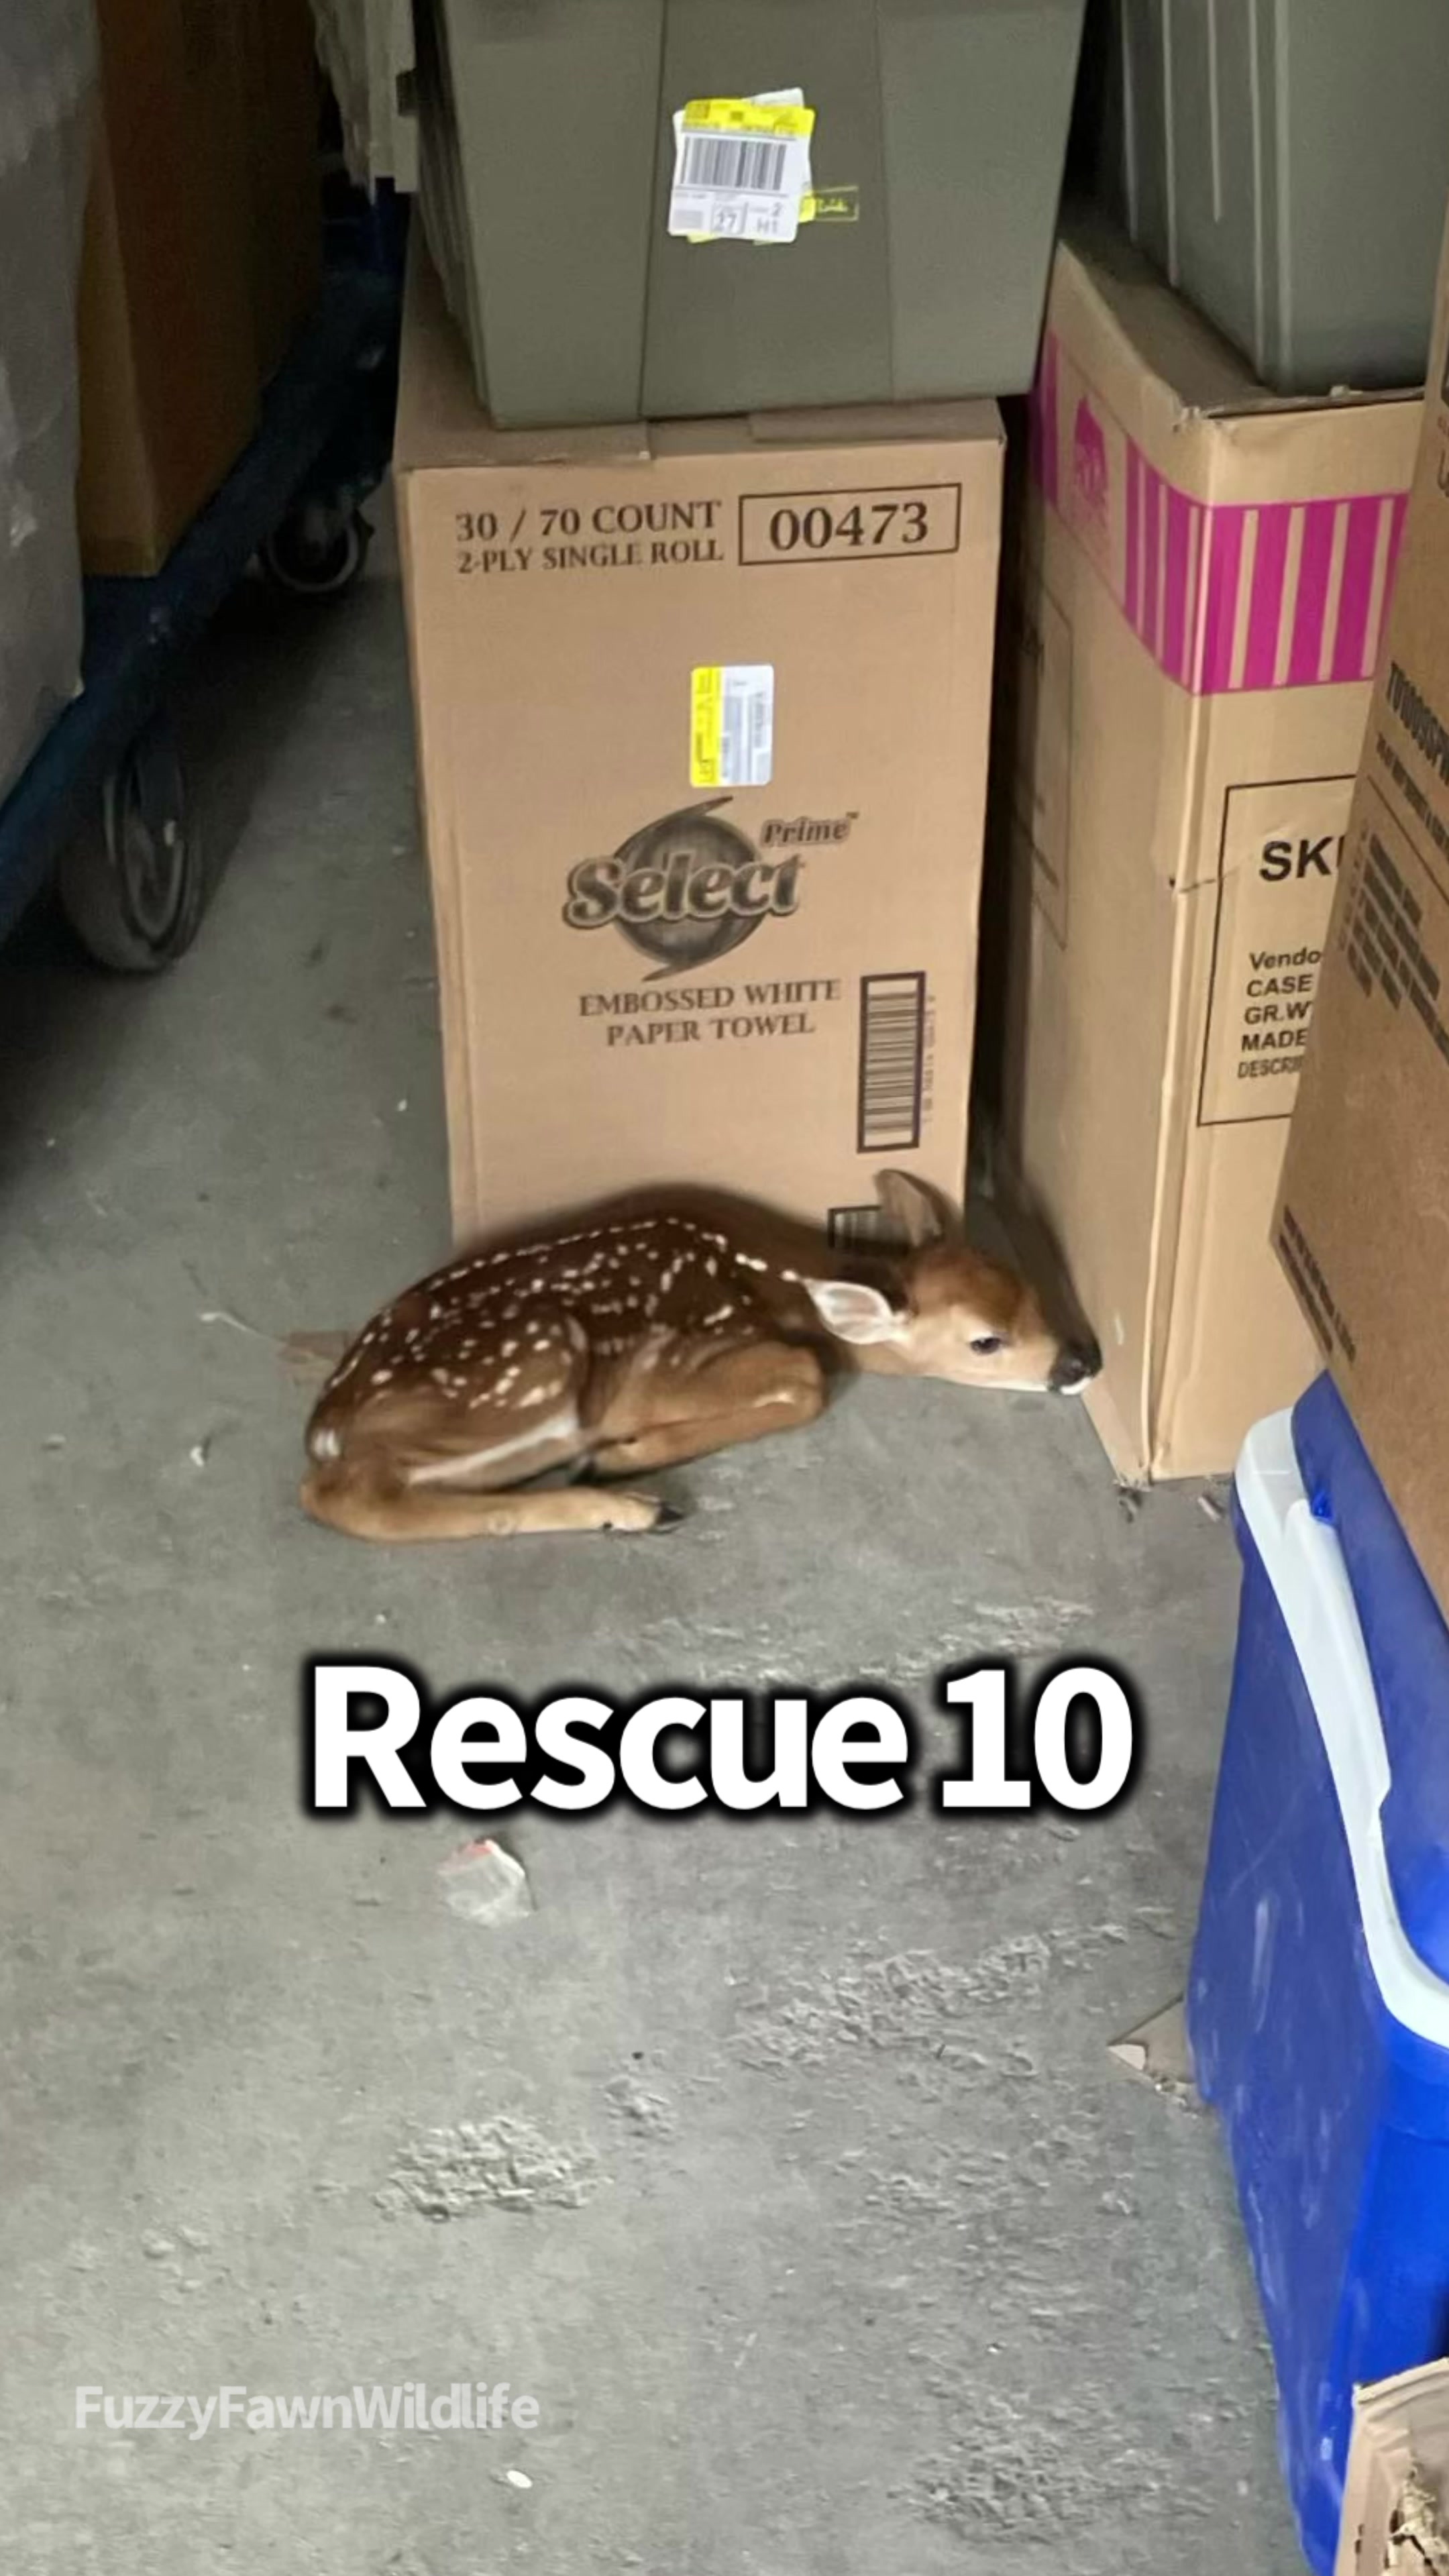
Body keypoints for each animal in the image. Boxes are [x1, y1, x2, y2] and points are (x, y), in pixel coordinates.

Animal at [300, 1171, 1099, 1543]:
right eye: (985, 1342)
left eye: (1031, 1290)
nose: (1080, 1364)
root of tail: (324, 1427)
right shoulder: (667, 1365)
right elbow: (807, 1378)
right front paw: (623, 1452)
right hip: (537, 1361)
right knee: (346, 1495)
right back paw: (631, 1505)